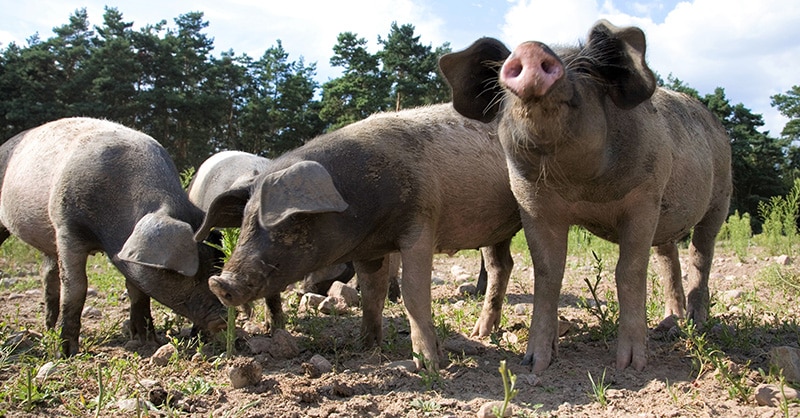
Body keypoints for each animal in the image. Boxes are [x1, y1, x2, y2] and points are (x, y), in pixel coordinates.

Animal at [0, 117, 228, 356]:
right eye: (178, 272)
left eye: (216, 266)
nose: (223, 318)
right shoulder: (66, 227)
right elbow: (76, 287)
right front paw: (67, 353)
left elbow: (138, 291)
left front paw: (148, 341)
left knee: (47, 274)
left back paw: (49, 328)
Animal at [197, 103, 520, 370]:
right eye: (246, 219)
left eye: (291, 218)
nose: (219, 282)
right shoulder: (370, 250)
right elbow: (372, 294)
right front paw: (365, 347)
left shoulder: (420, 224)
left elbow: (413, 295)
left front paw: (429, 365)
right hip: (495, 231)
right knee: (501, 266)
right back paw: (481, 333)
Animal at [440, 19, 736, 372]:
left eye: (585, 69)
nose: (530, 47)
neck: (582, 187)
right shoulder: (534, 206)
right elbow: (548, 273)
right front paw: (535, 363)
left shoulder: (645, 198)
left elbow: (629, 271)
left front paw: (631, 365)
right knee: (668, 258)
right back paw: (670, 321)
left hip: (720, 197)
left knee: (701, 255)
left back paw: (694, 323)